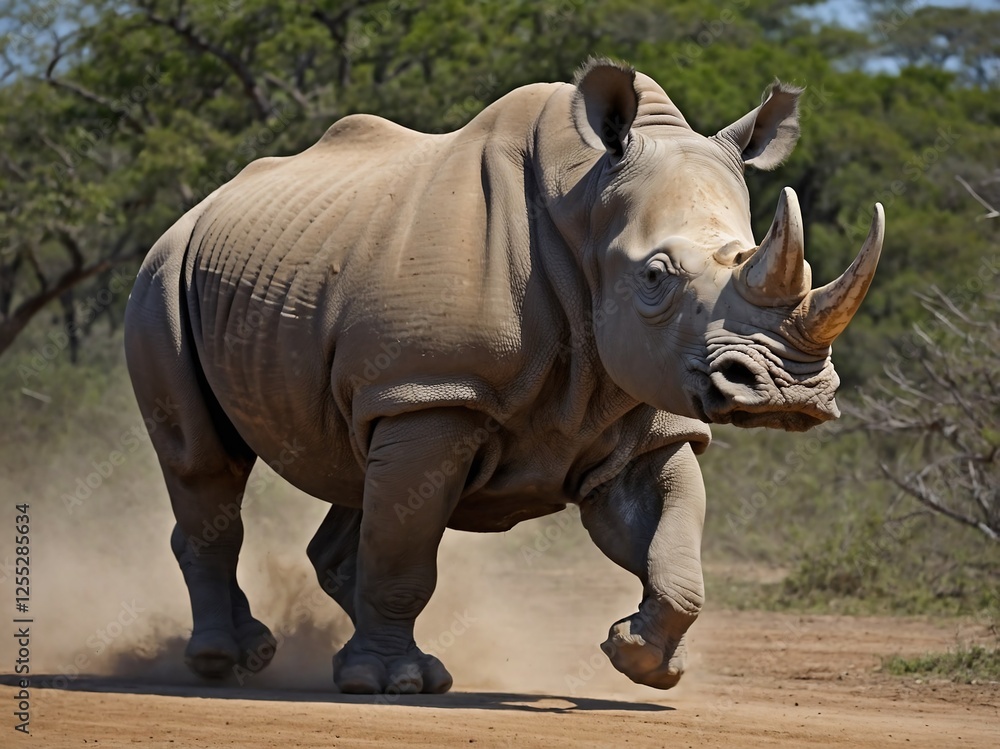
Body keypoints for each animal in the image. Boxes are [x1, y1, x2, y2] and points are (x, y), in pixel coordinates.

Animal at [123, 59, 883, 695]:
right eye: (655, 277)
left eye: (748, 252)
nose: (789, 391)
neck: (585, 206)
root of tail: (204, 205)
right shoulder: (435, 390)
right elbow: (405, 550)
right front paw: (391, 683)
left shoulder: (642, 403)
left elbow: (671, 544)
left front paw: (642, 658)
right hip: (164, 278)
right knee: (205, 461)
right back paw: (227, 663)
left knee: (356, 469)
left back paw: (272, 650)